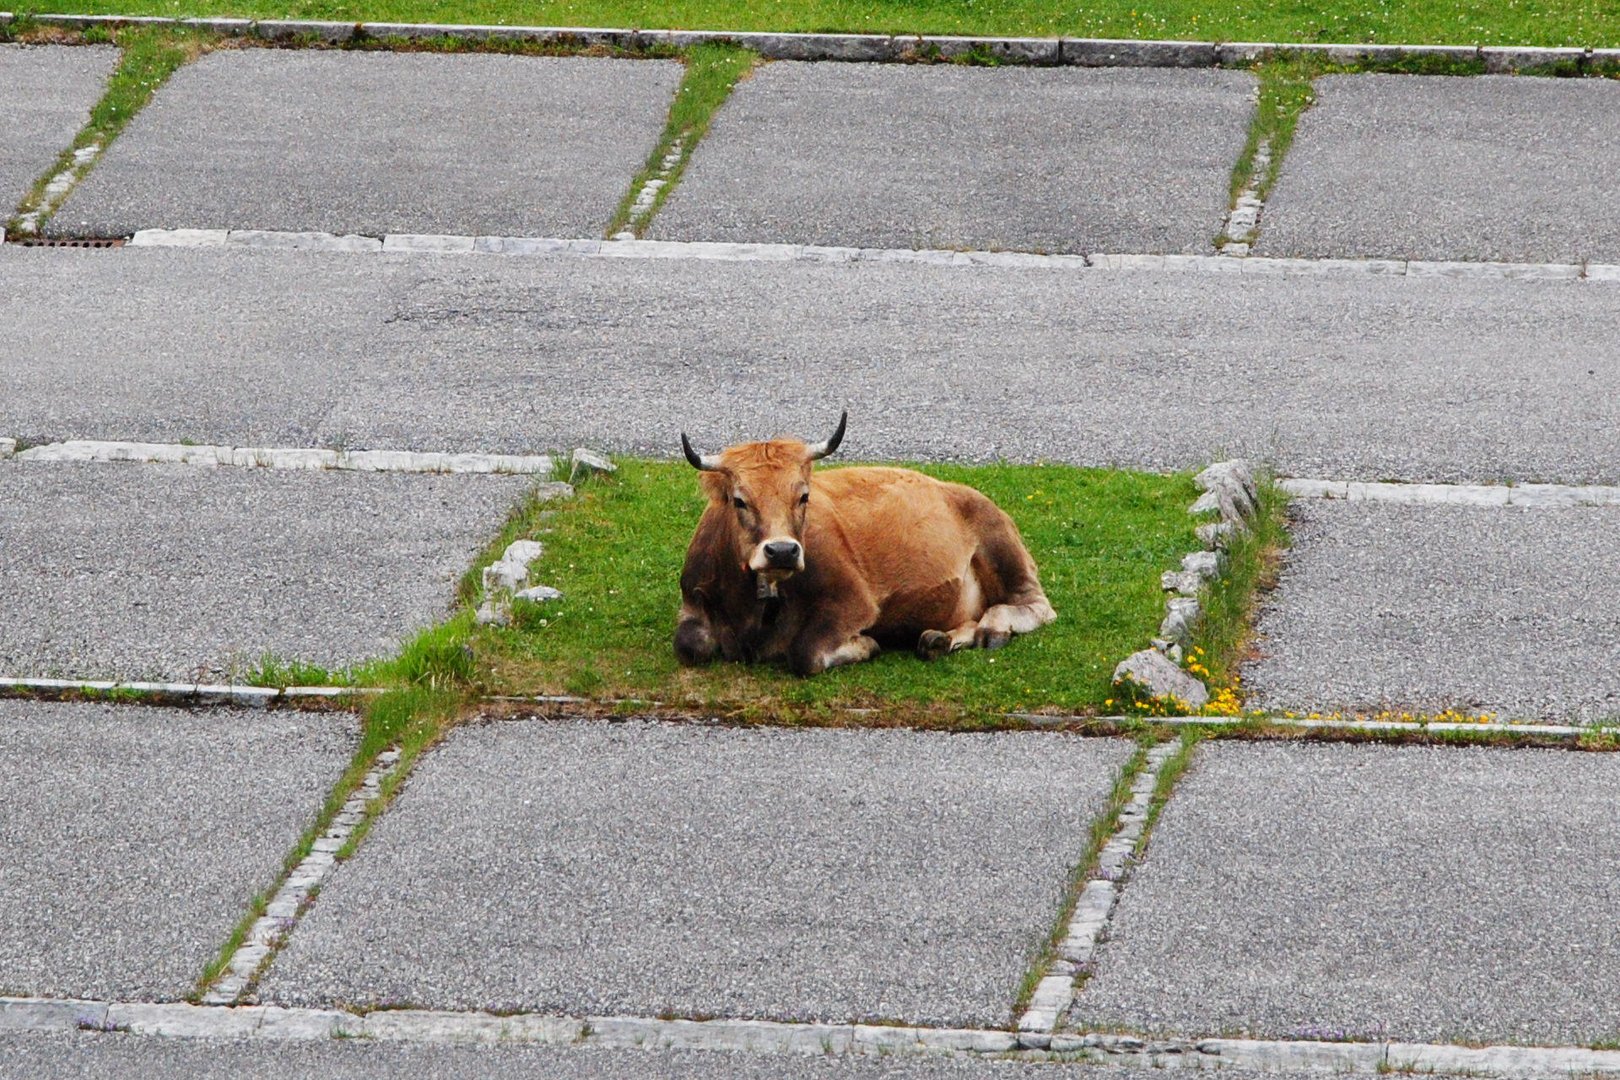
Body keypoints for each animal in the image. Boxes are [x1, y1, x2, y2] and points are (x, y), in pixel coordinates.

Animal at [667, 414, 1056, 676]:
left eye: (803, 496)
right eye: (739, 500)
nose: (782, 551)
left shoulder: (854, 602)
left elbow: (805, 653)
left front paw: (865, 645)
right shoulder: (693, 600)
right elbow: (689, 645)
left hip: (1004, 549)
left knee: (1036, 606)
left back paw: (993, 628)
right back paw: (939, 640)